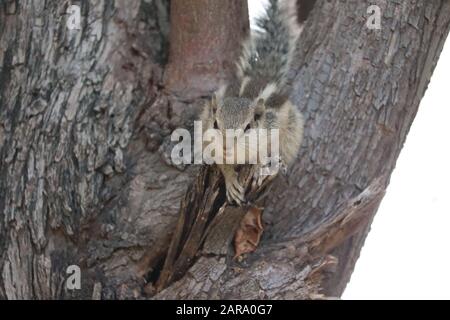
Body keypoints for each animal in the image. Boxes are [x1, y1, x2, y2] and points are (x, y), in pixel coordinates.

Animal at [199, 0, 304, 205]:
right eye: (215, 124)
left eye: (248, 127)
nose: (226, 146)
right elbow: (223, 165)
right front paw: (231, 181)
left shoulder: (270, 132)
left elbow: (263, 154)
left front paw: (257, 167)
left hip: (291, 131)